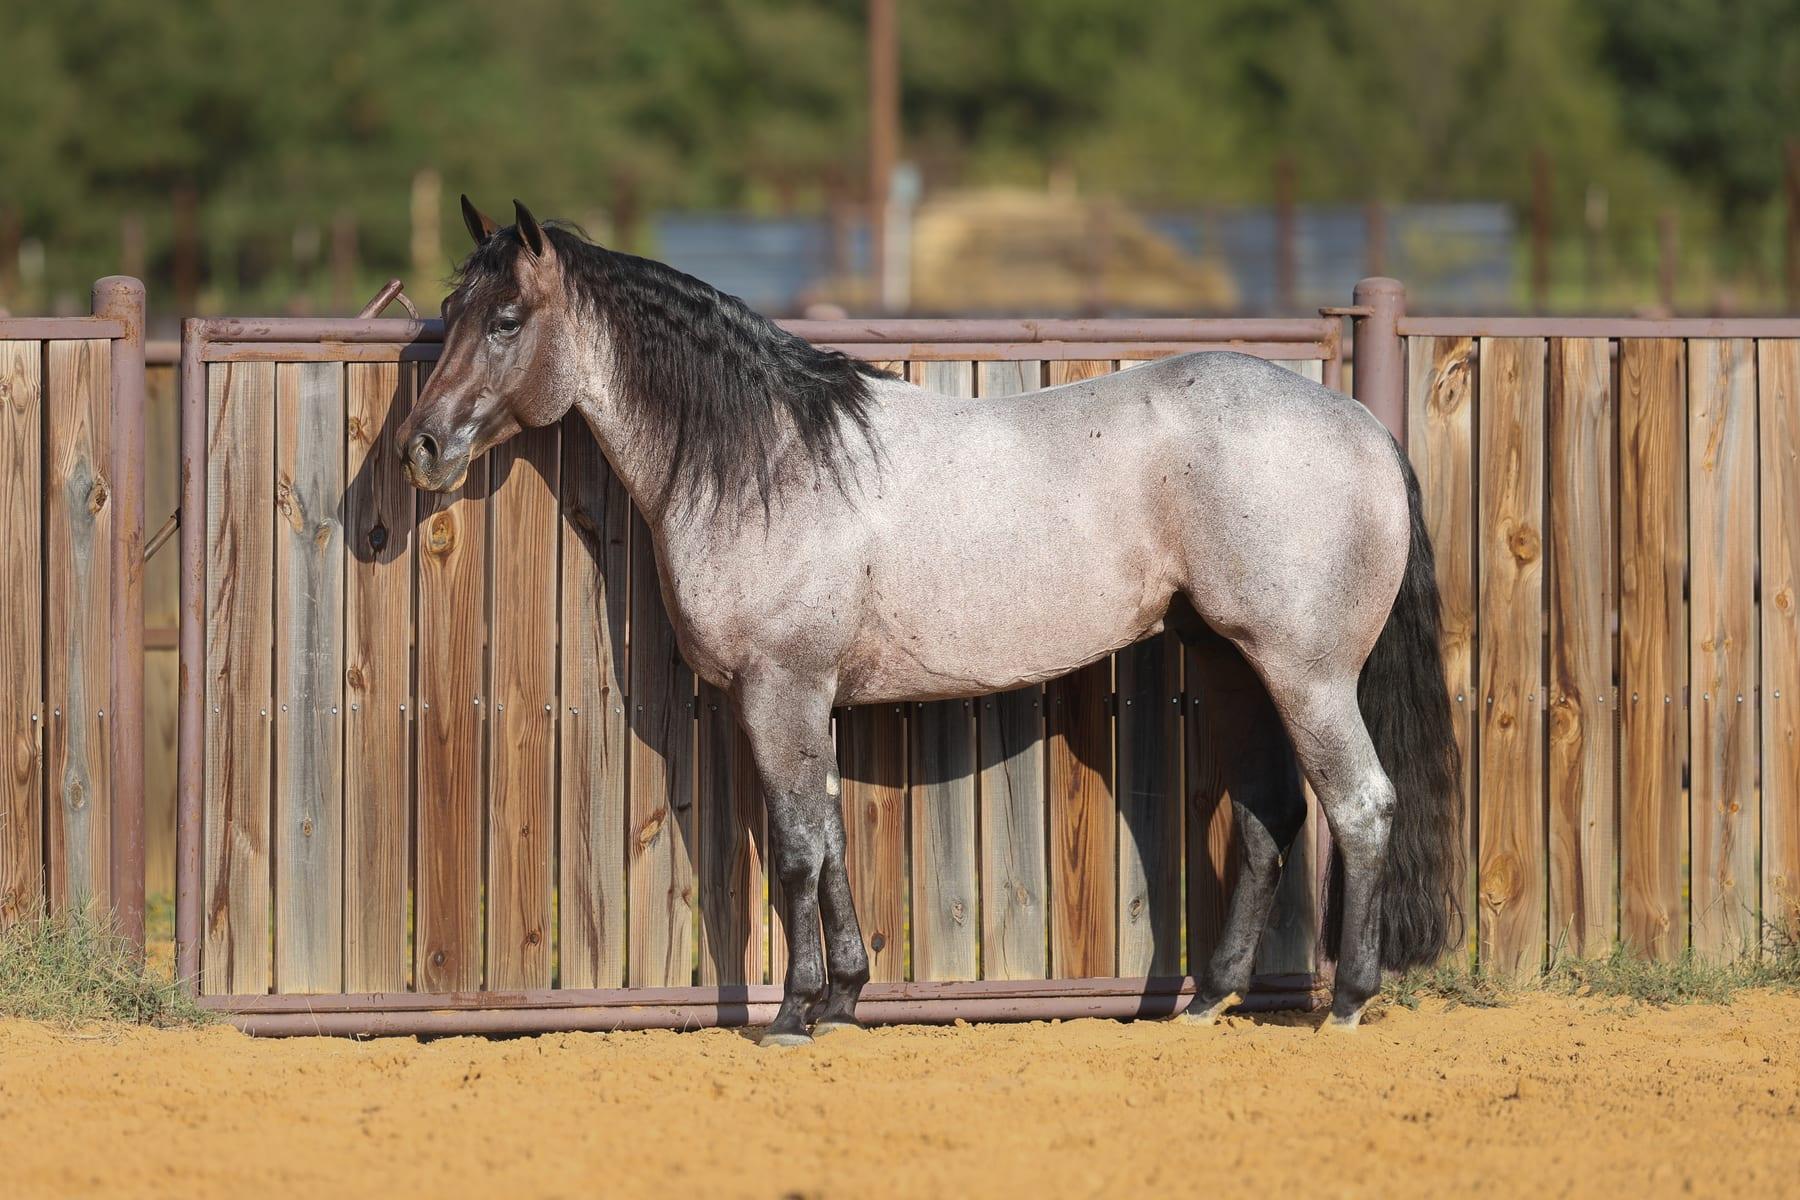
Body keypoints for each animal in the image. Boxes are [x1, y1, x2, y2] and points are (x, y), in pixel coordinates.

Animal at [397, 197, 1463, 1046]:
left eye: (506, 319)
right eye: (449, 314)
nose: (422, 447)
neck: (769, 460)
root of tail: (1364, 428)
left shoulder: (780, 690)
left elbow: (796, 847)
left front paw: (792, 1016)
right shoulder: (804, 701)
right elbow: (829, 839)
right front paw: (842, 1001)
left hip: (1307, 675)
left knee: (1361, 805)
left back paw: (1349, 1000)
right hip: (1232, 664)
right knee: (1267, 816)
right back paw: (1210, 1000)